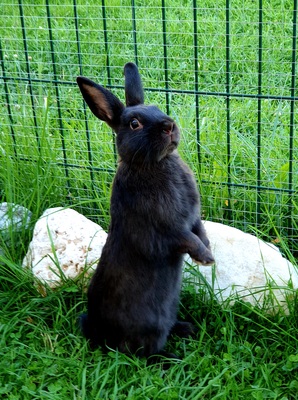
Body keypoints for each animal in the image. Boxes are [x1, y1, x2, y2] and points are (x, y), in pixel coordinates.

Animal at [75, 62, 213, 362]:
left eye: (158, 108)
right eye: (134, 124)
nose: (169, 125)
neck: (154, 164)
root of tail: (98, 332)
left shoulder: (193, 219)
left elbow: (200, 231)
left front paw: (209, 251)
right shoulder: (166, 230)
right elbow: (188, 239)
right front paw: (207, 259)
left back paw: (187, 328)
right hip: (149, 328)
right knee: (143, 355)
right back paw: (171, 359)